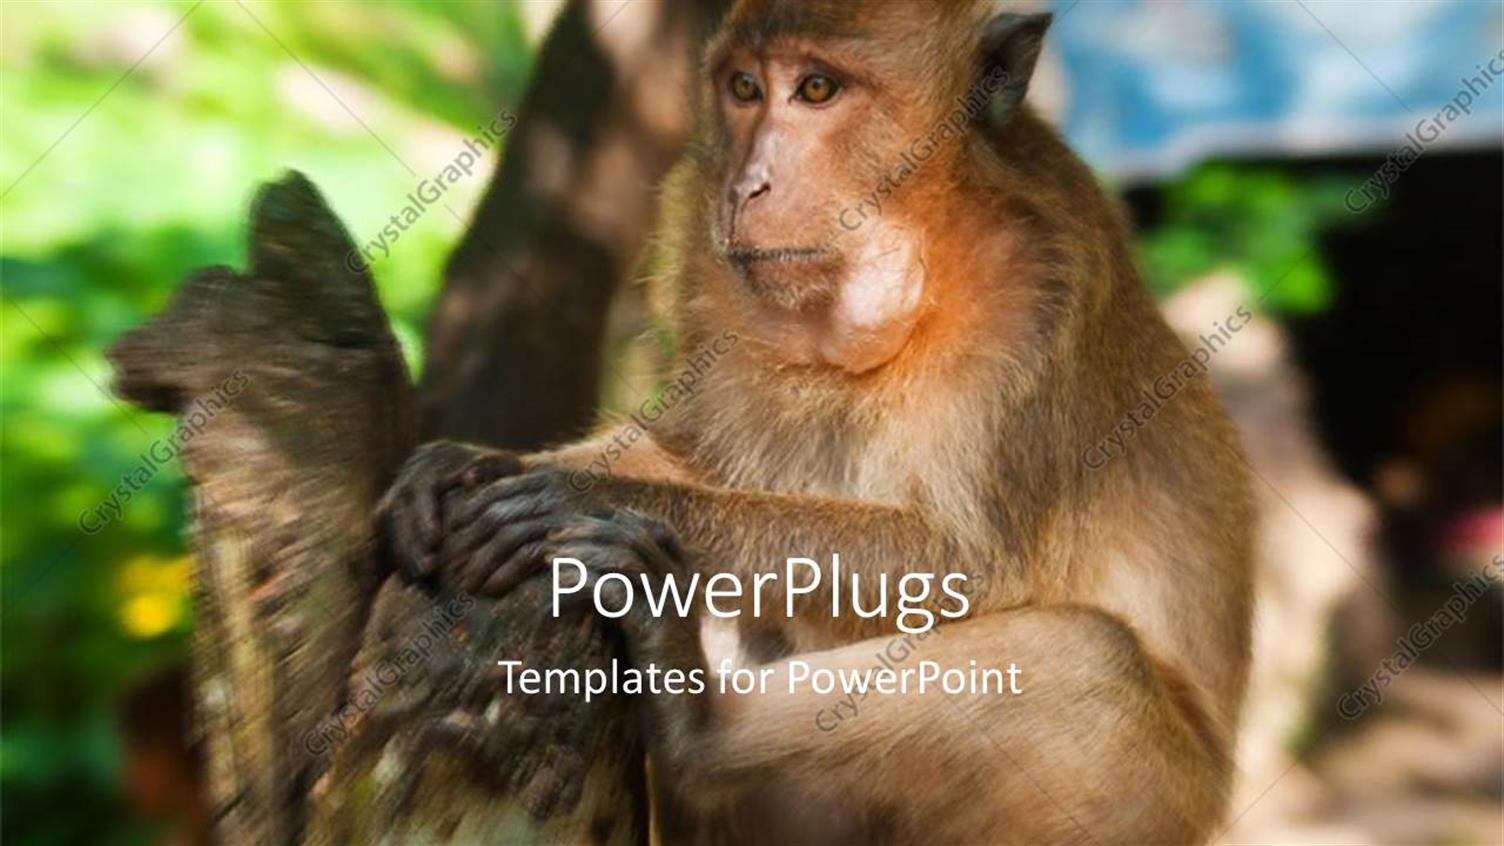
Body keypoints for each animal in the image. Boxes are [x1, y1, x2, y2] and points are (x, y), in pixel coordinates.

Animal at [379, 2, 1255, 843]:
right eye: (743, 88)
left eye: (817, 90)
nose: (747, 187)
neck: (918, 255)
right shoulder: (703, 268)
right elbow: (694, 455)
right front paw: (469, 467)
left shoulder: (1037, 295)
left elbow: (965, 562)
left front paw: (572, 497)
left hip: (1152, 806)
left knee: (1091, 660)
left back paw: (698, 725)